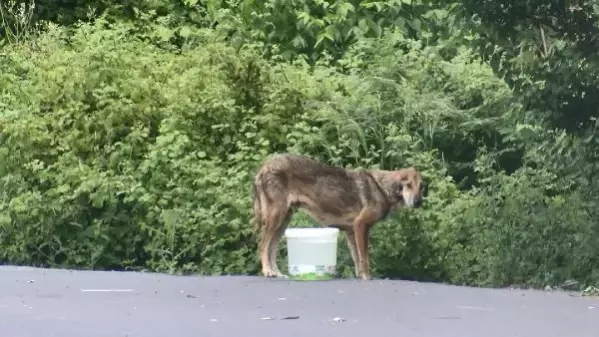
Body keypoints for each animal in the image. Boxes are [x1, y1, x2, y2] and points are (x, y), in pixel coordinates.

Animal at [251, 152, 428, 278]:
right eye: (408, 185)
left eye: (421, 187)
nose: (418, 202)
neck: (382, 188)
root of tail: (262, 169)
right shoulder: (361, 226)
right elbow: (364, 258)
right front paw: (367, 278)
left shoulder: (351, 231)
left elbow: (357, 259)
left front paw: (360, 277)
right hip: (276, 218)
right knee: (262, 246)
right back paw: (267, 272)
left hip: (283, 221)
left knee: (271, 248)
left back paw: (277, 273)